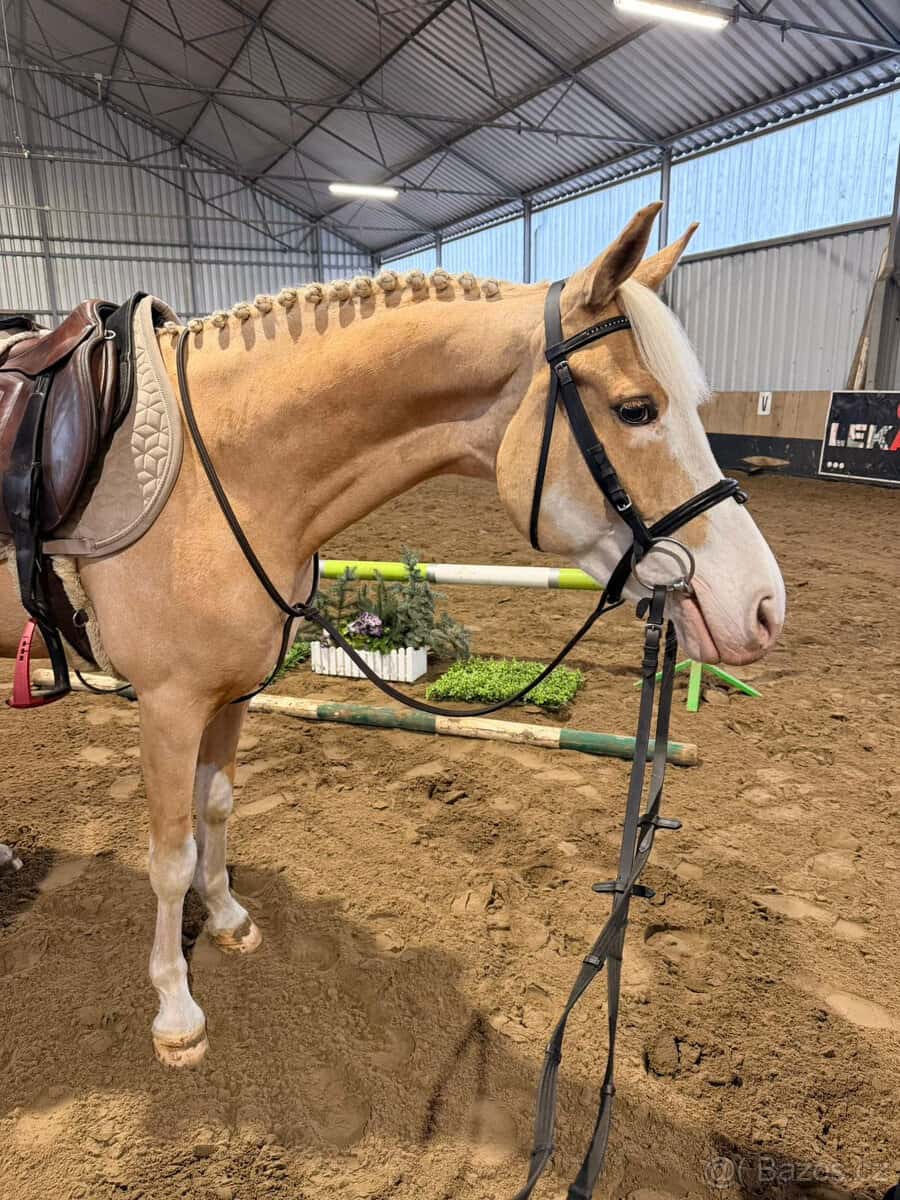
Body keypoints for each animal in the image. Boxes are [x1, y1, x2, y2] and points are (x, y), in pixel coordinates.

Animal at [0, 202, 784, 1067]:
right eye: (637, 408)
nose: (761, 605)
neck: (220, 477)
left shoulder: (229, 694)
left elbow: (219, 810)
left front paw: (231, 920)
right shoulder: (169, 705)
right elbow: (170, 857)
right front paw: (176, 1009)